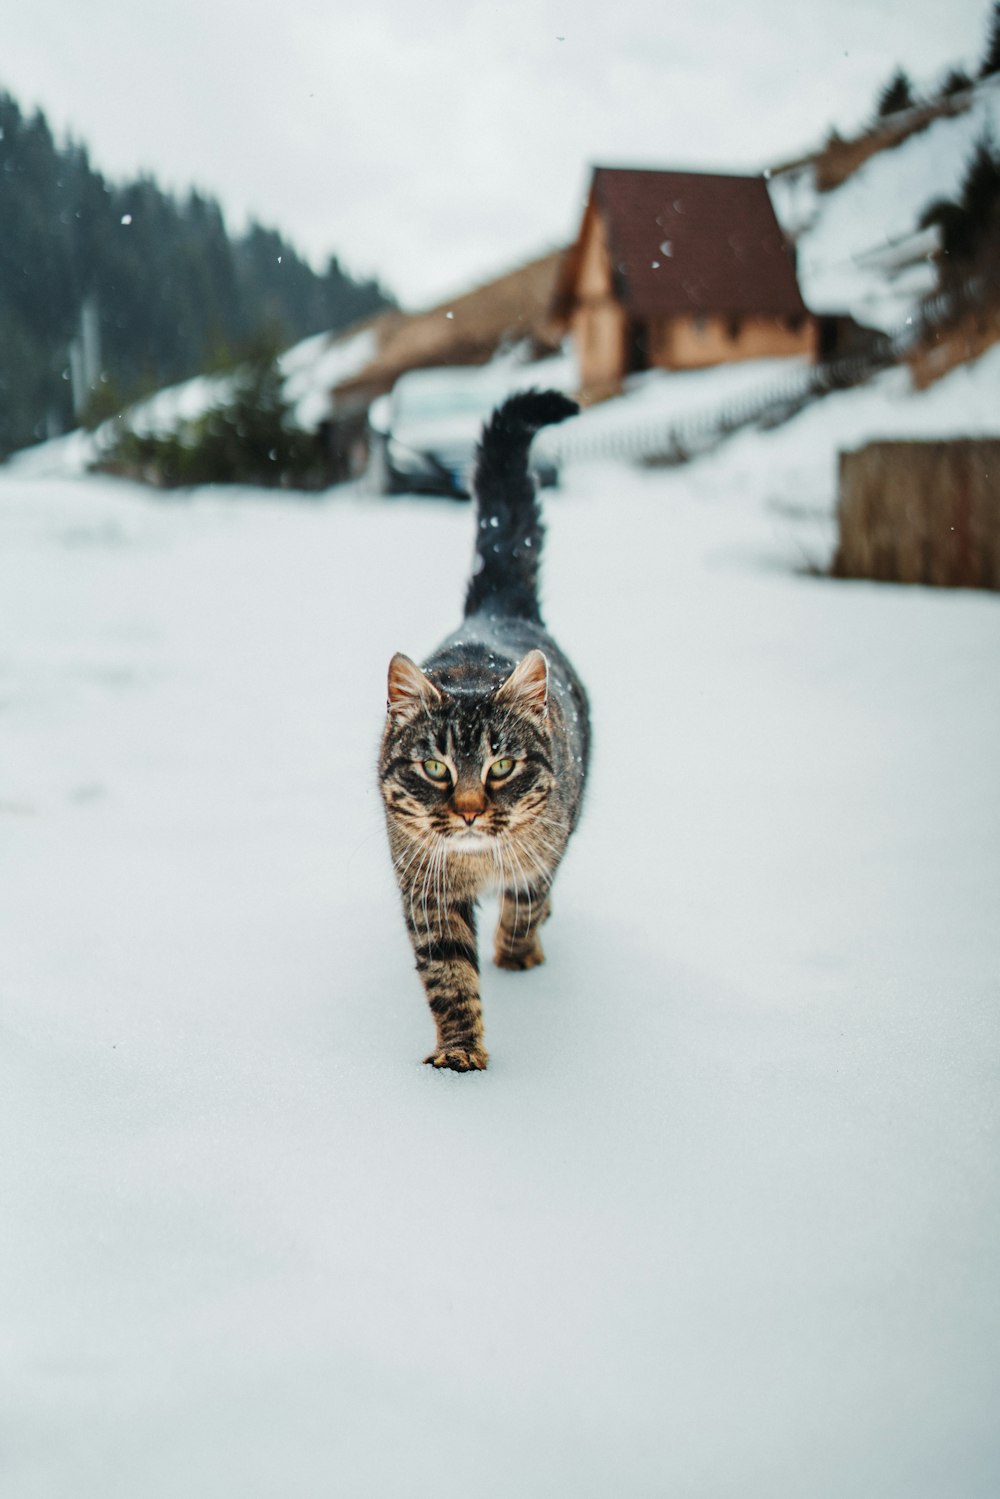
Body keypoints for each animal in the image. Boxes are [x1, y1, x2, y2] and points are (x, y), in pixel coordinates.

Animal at [379, 386, 590, 1067]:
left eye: (502, 766)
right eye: (434, 767)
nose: (470, 811)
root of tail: (497, 607)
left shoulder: (545, 849)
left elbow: (526, 902)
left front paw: (517, 956)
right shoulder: (425, 886)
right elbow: (449, 974)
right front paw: (459, 1053)